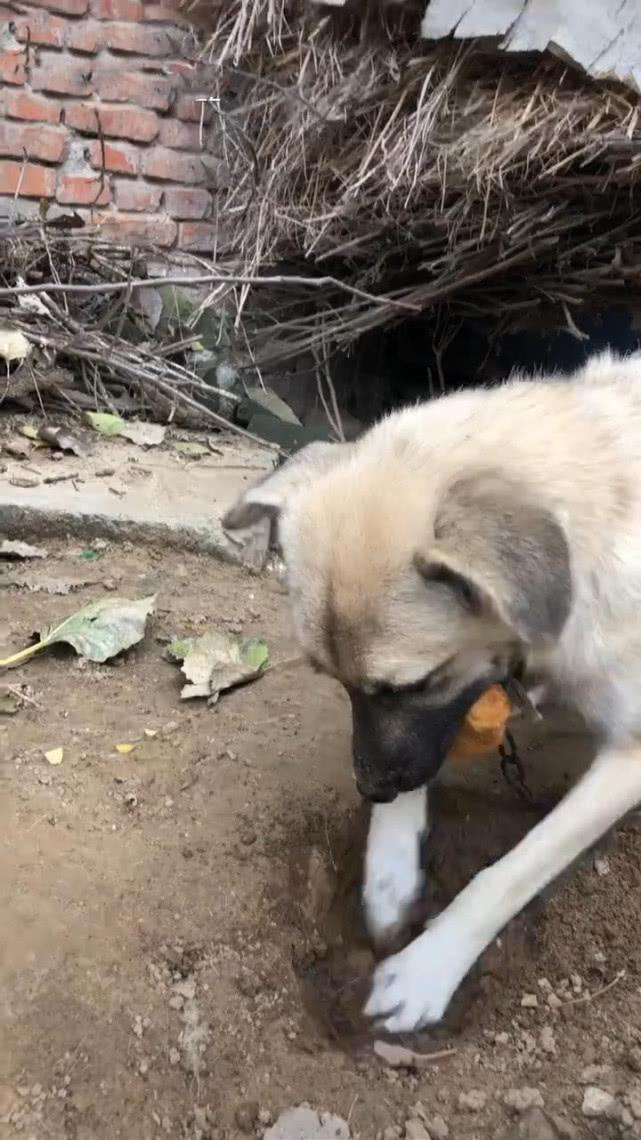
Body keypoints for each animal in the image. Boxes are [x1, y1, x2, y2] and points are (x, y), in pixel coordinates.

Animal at [222, 351, 638, 1039]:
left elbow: (510, 871)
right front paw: (390, 871)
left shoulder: (629, 755)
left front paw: (428, 966)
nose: (368, 790)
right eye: (333, 680)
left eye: (412, 684)